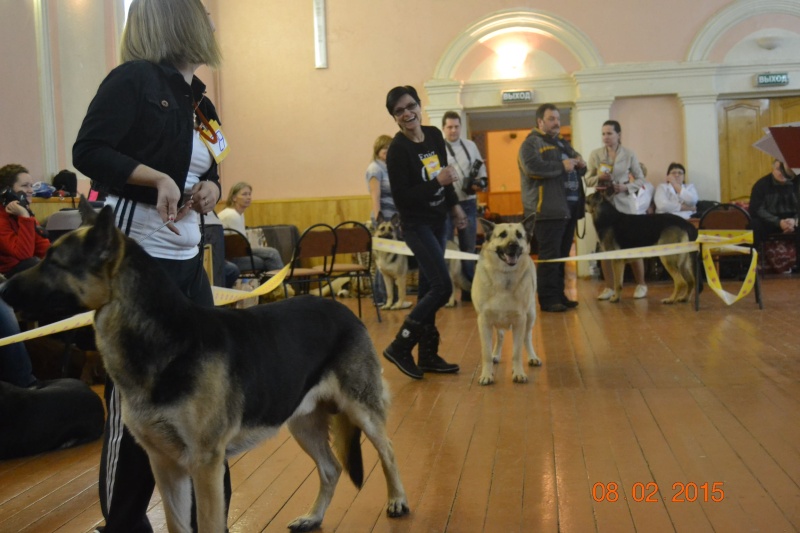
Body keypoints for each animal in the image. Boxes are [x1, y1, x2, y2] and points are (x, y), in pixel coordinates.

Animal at [0, 204, 410, 532]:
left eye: (55, 263)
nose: (3, 291)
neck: (163, 339)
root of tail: (343, 310)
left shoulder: (206, 466)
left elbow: (209, 525)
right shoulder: (166, 468)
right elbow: (179, 525)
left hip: (361, 412)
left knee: (389, 450)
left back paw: (397, 500)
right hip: (301, 423)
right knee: (331, 469)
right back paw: (314, 517)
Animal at [472, 214, 540, 384]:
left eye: (519, 235)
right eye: (502, 235)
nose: (514, 245)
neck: (504, 276)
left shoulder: (520, 321)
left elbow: (517, 352)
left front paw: (518, 373)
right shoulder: (484, 321)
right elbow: (486, 352)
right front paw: (486, 374)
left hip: (530, 316)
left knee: (527, 338)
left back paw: (532, 357)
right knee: (501, 336)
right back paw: (496, 354)